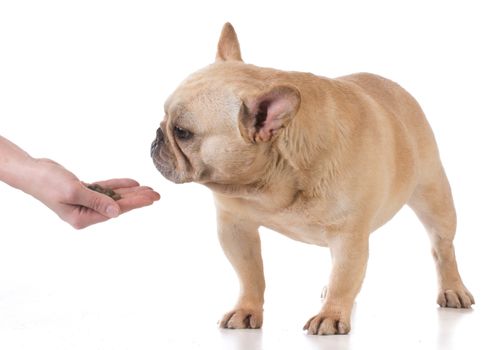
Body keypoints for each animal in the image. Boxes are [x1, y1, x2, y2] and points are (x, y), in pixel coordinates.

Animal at [150, 23, 472, 334]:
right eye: (164, 117)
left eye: (182, 132)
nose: (156, 136)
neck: (272, 180)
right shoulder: (235, 227)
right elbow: (250, 274)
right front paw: (246, 309)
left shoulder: (348, 235)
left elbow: (345, 275)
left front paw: (331, 315)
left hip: (434, 196)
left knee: (443, 247)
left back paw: (453, 289)